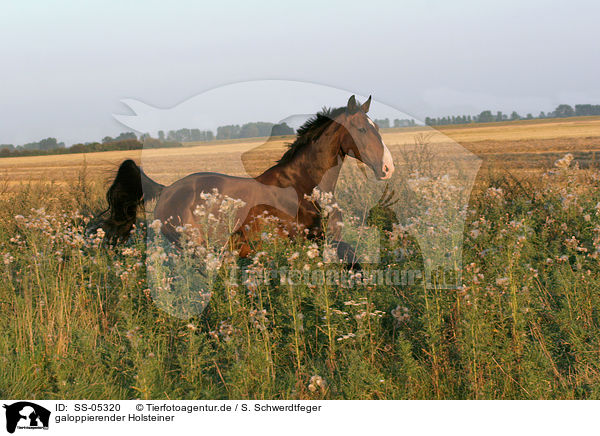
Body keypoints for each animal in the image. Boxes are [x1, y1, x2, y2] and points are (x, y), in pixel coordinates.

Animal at [91, 96, 394, 266]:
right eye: (361, 129)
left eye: (377, 127)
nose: (388, 168)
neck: (303, 187)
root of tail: (167, 190)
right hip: (193, 249)